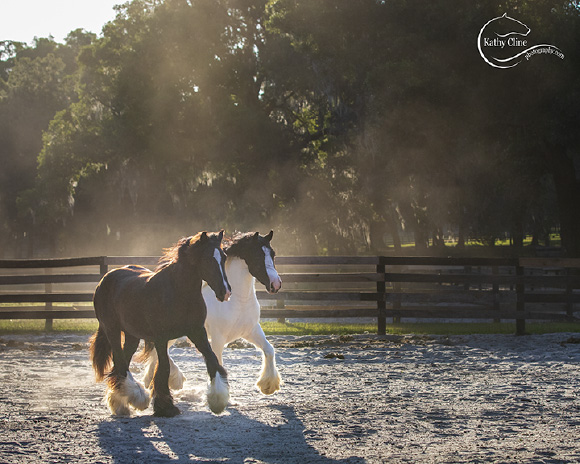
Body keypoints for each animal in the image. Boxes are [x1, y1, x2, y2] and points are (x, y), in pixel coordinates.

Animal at [89, 231, 230, 416]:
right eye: (207, 258)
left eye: (224, 257)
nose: (225, 292)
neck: (179, 292)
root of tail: (105, 279)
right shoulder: (161, 338)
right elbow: (163, 368)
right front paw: (166, 407)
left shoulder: (197, 332)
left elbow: (213, 360)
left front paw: (218, 401)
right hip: (112, 330)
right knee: (120, 362)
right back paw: (138, 398)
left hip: (132, 336)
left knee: (120, 364)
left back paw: (119, 403)